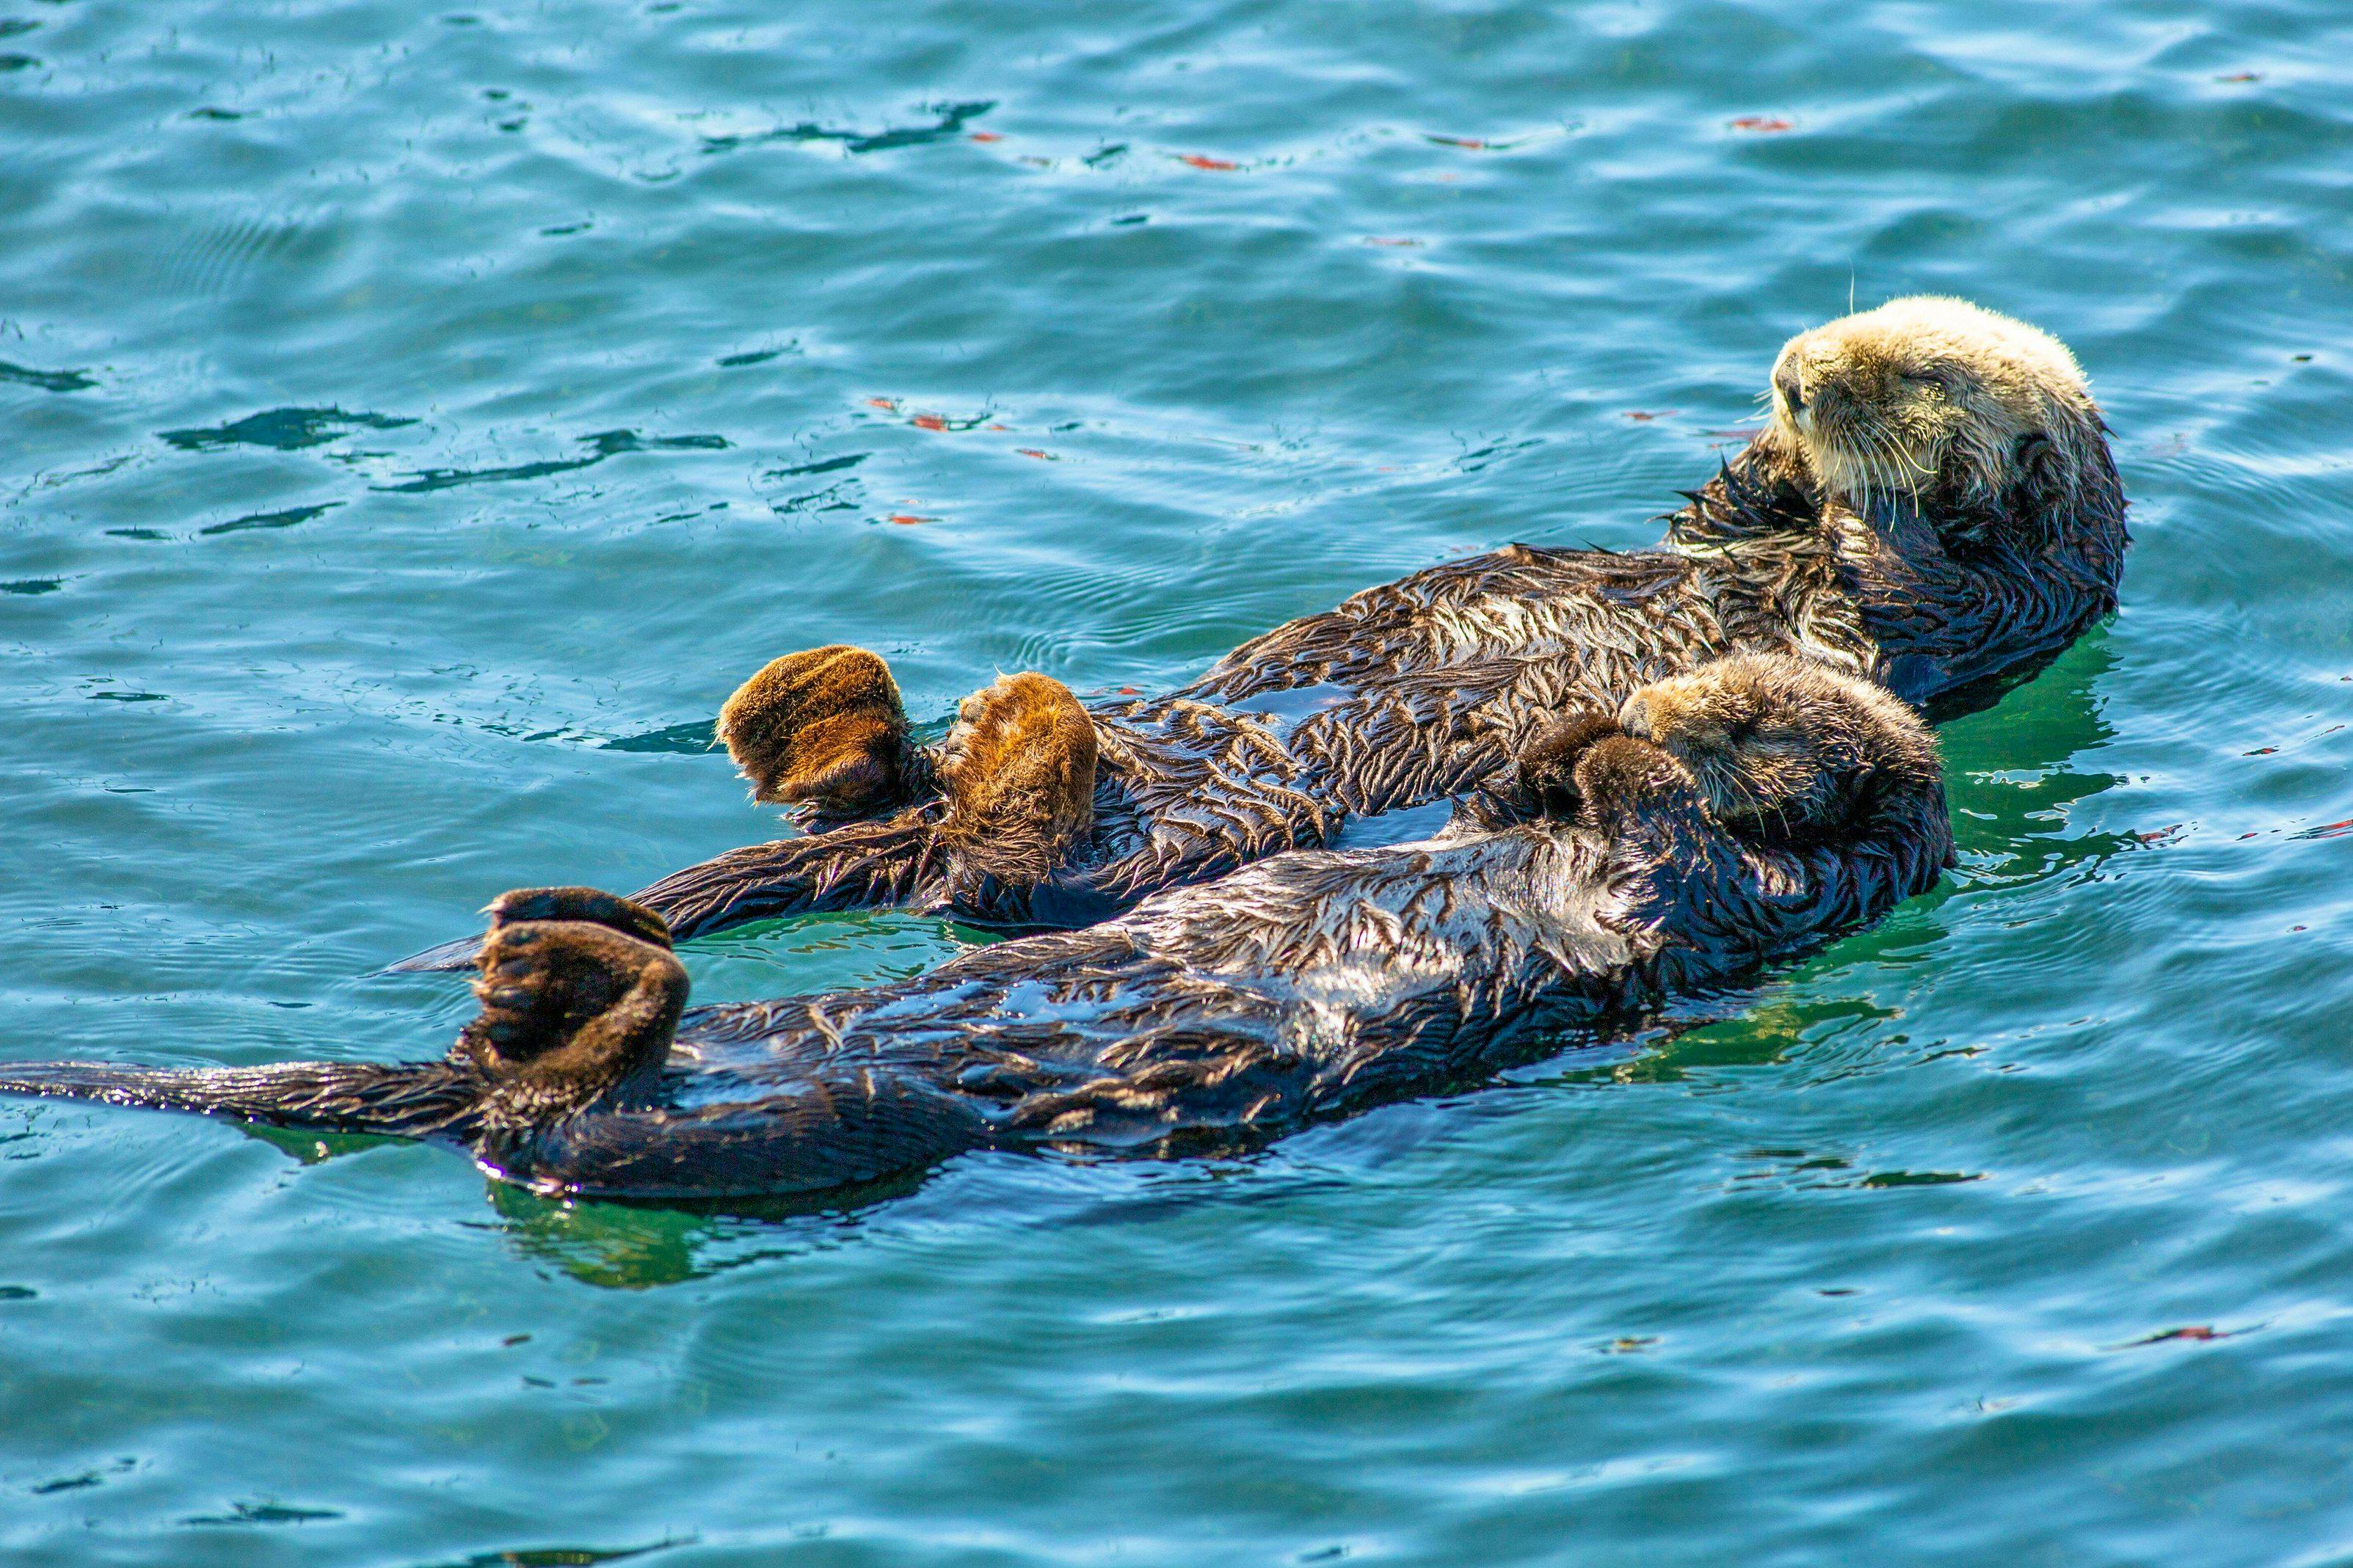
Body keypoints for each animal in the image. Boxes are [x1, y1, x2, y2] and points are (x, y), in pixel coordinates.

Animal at [4, 656, 1951, 1199]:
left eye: (1754, 716)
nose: (1675, 702)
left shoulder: (1726, 902)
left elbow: (1660, 851)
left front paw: (1631, 751)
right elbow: (1527, 805)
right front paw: (1573, 732)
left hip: (821, 1127)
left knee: (571, 1120)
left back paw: (569, 966)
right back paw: (558, 924)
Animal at [395, 296, 2118, 968]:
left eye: (1910, 372)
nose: (1793, 370)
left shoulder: (1983, 613)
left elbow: (1897, 585)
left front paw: (1850, 488)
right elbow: (1710, 527)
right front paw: (1757, 462)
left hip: (1156, 846)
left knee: (992, 882)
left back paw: (1013, 743)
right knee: (883, 798)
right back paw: (822, 712)